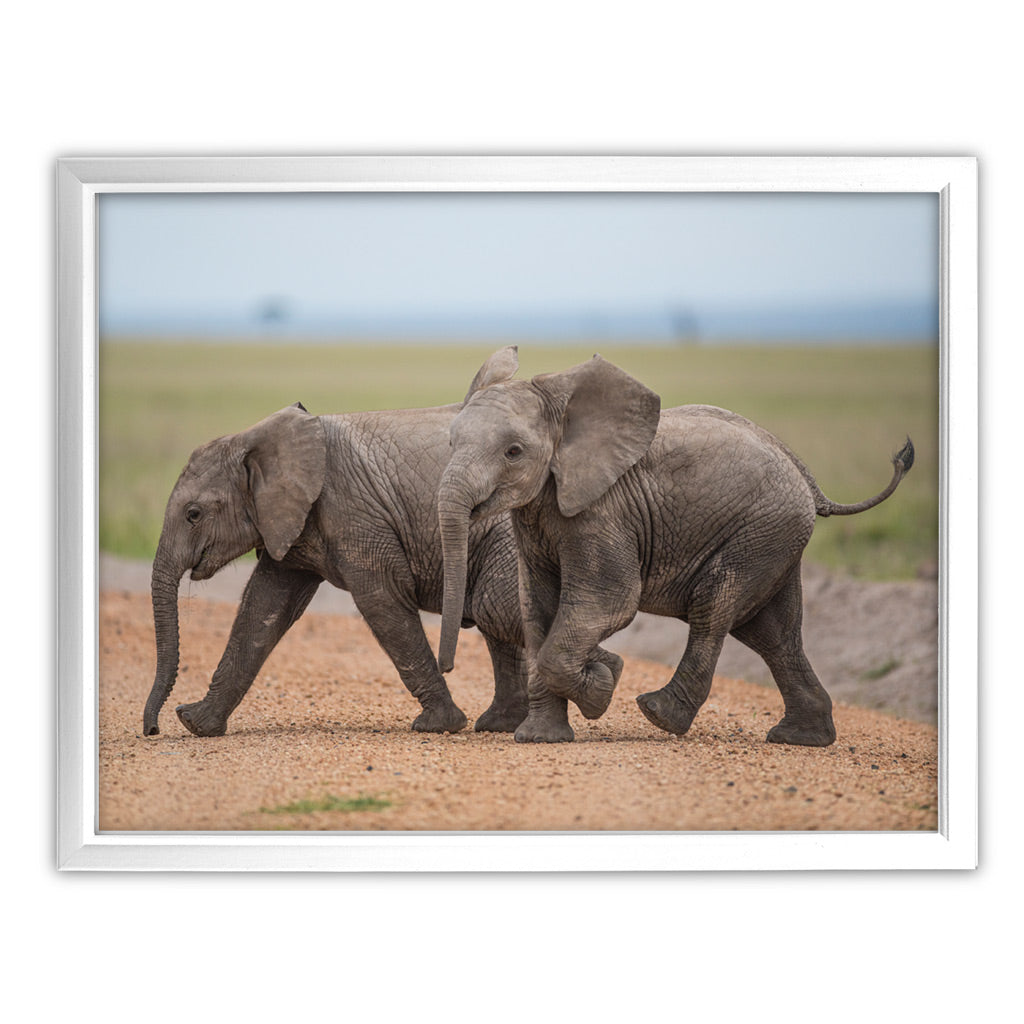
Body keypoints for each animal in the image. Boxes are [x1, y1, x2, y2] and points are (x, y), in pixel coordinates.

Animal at [143, 395, 539, 738]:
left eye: (194, 514)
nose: (152, 729)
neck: (258, 437)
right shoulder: (291, 523)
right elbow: (263, 609)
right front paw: (196, 723)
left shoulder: (351, 512)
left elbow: (382, 601)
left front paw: (439, 724)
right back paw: (498, 725)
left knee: (495, 610)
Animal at [437, 349, 914, 746]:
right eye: (450, 442)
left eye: (513, 452)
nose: (448, 667)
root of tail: (803, 473)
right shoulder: (535, 519)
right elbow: (536, 606)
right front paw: (541, 737)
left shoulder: (603, 511)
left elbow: (610, 600)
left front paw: (603, 685)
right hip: (775, 536)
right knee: (772, 633)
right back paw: (800, 738)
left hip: (761, 530)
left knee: (714, 606)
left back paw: (659, 714)